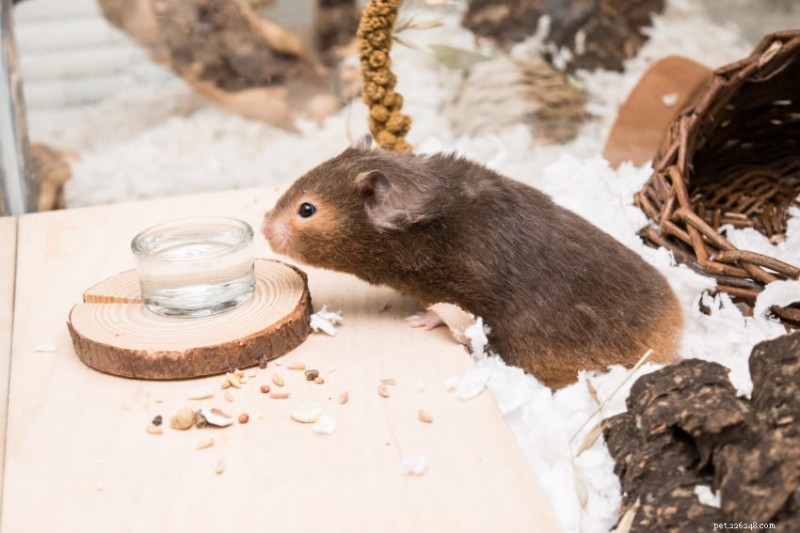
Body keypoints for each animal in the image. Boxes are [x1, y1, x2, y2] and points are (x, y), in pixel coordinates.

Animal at [263, 137, 683, 388]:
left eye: (306, 209)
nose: (265, 228)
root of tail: (673, 338)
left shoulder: (463, 291)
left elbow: (446, 311)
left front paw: (416, 321)